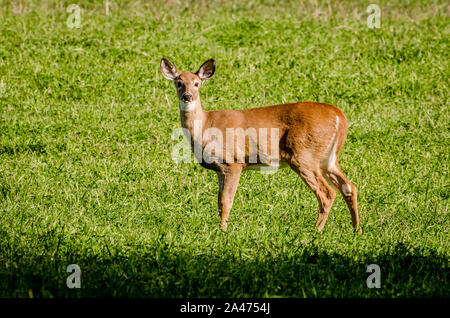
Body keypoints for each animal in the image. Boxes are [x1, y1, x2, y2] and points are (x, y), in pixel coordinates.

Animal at [160, 57, 360, 234]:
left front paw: (222, 231)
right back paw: (356, 230)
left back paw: (315, 232)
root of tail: (340, 118)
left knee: (327, 193)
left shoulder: (233, 161)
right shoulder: (219, 169)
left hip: (304, 155)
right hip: (328, 158)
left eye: (197, 83)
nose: (187, 97)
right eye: (179, 83)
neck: (205, 125)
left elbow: (226, 201)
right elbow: (218, 201)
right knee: (349, 187)